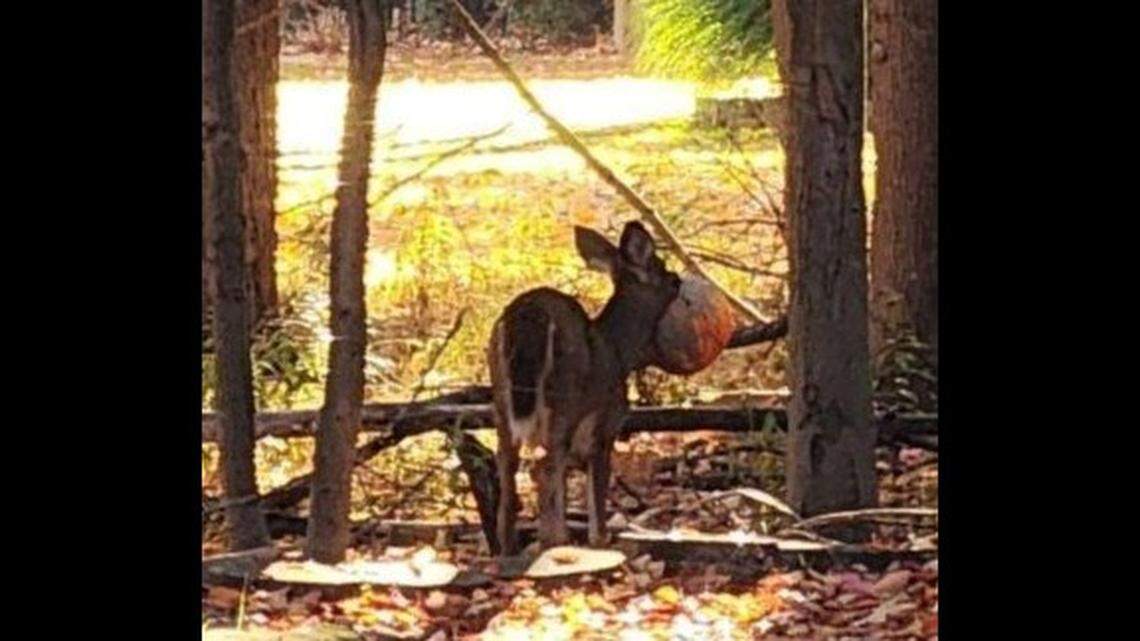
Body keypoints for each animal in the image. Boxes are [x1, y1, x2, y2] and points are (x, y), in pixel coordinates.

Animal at [487, 221, 682, 556]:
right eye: (663, 270)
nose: (679, 280)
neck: (619, 351)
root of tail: (527, 313)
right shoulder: (606, 423)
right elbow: (596, 484)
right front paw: (599, 539)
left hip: (500, 398)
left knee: (508, 465)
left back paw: (510, 547)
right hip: (565, 396)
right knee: (544, 467)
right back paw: (554, 543)